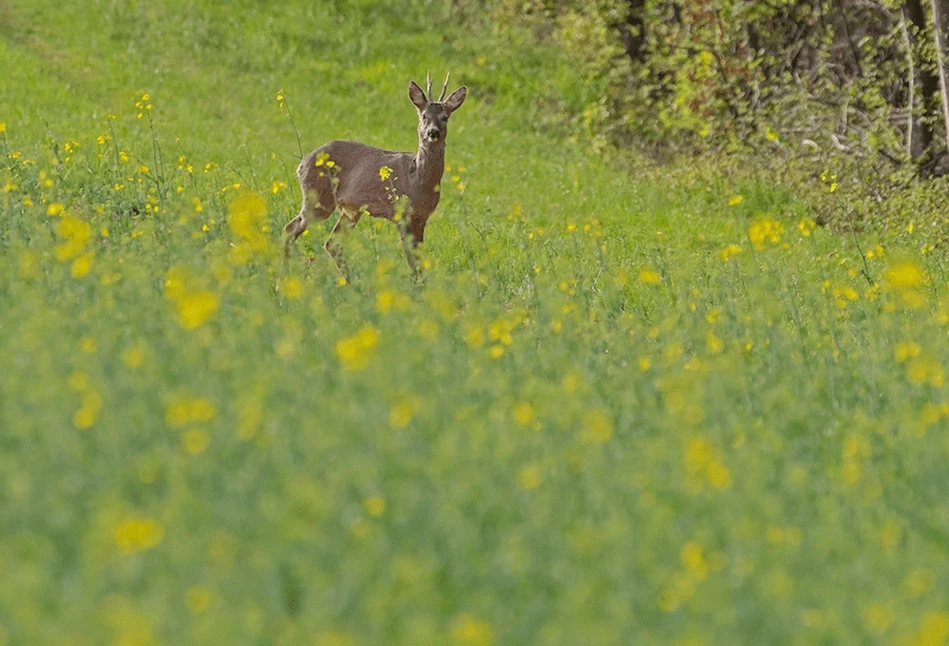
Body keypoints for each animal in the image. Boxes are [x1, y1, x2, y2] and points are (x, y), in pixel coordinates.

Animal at [286, 73, 470, 280]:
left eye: (444, 117)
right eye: (424, 116)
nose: (433, 132)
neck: (418, 181)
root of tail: (301, 164)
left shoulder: (421, 218)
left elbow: (419, 260)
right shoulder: (401, 214)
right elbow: (412, 262)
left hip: (349, 210)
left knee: (331, 243)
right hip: (318, 199)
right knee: (291, 229)